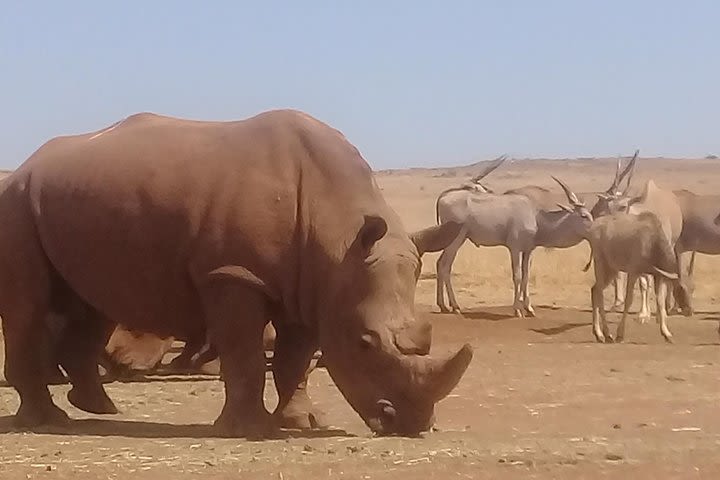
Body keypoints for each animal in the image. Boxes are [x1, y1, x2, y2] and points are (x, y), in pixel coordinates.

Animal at [434, 175, 592, 316]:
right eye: (584, 215)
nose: (595, 229)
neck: (535, 214)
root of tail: (443, 197)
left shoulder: (529, 251)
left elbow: (526, 275)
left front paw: (529, 308)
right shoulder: (514, 249)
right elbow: (517, 275)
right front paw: (517, 310)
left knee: (440, 264)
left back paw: (443, 306)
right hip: (456, 240)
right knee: (445, 266)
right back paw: (455, 306)